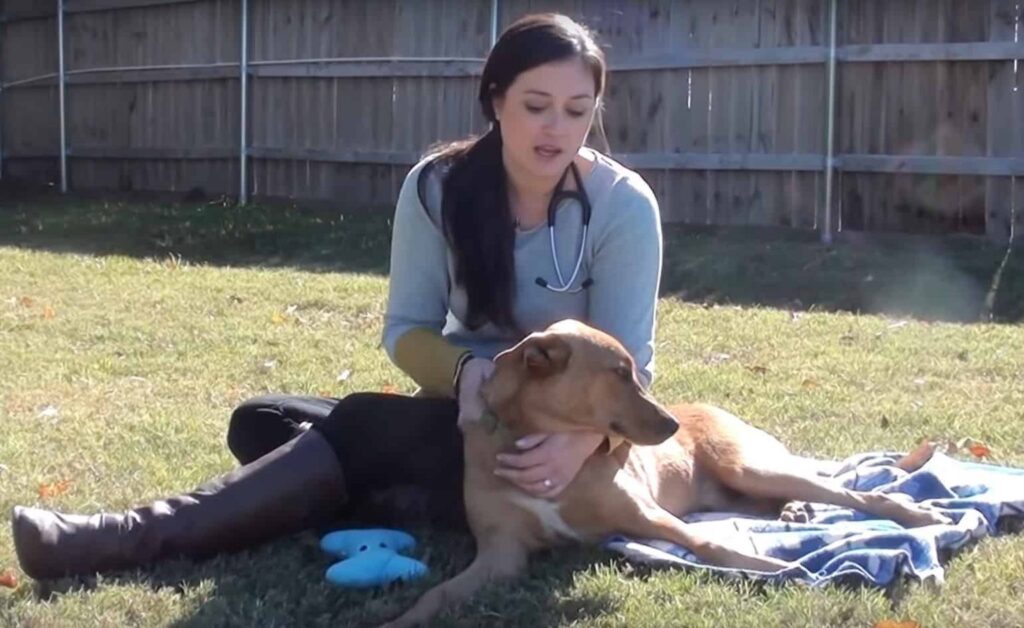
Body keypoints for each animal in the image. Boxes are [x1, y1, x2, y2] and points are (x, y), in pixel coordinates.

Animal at [378, 321, 950, 622]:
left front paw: (773, 567)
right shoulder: (502, 554)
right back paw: (795, 513)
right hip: (731, 490)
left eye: (634, 370)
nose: (673, 424)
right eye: (619, 373)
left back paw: (916, 514)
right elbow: (438, 592)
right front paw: (403, 618)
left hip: (749, 466)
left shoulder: (651, 518)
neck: (533, 434)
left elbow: (712, 544)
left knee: (853, 494)